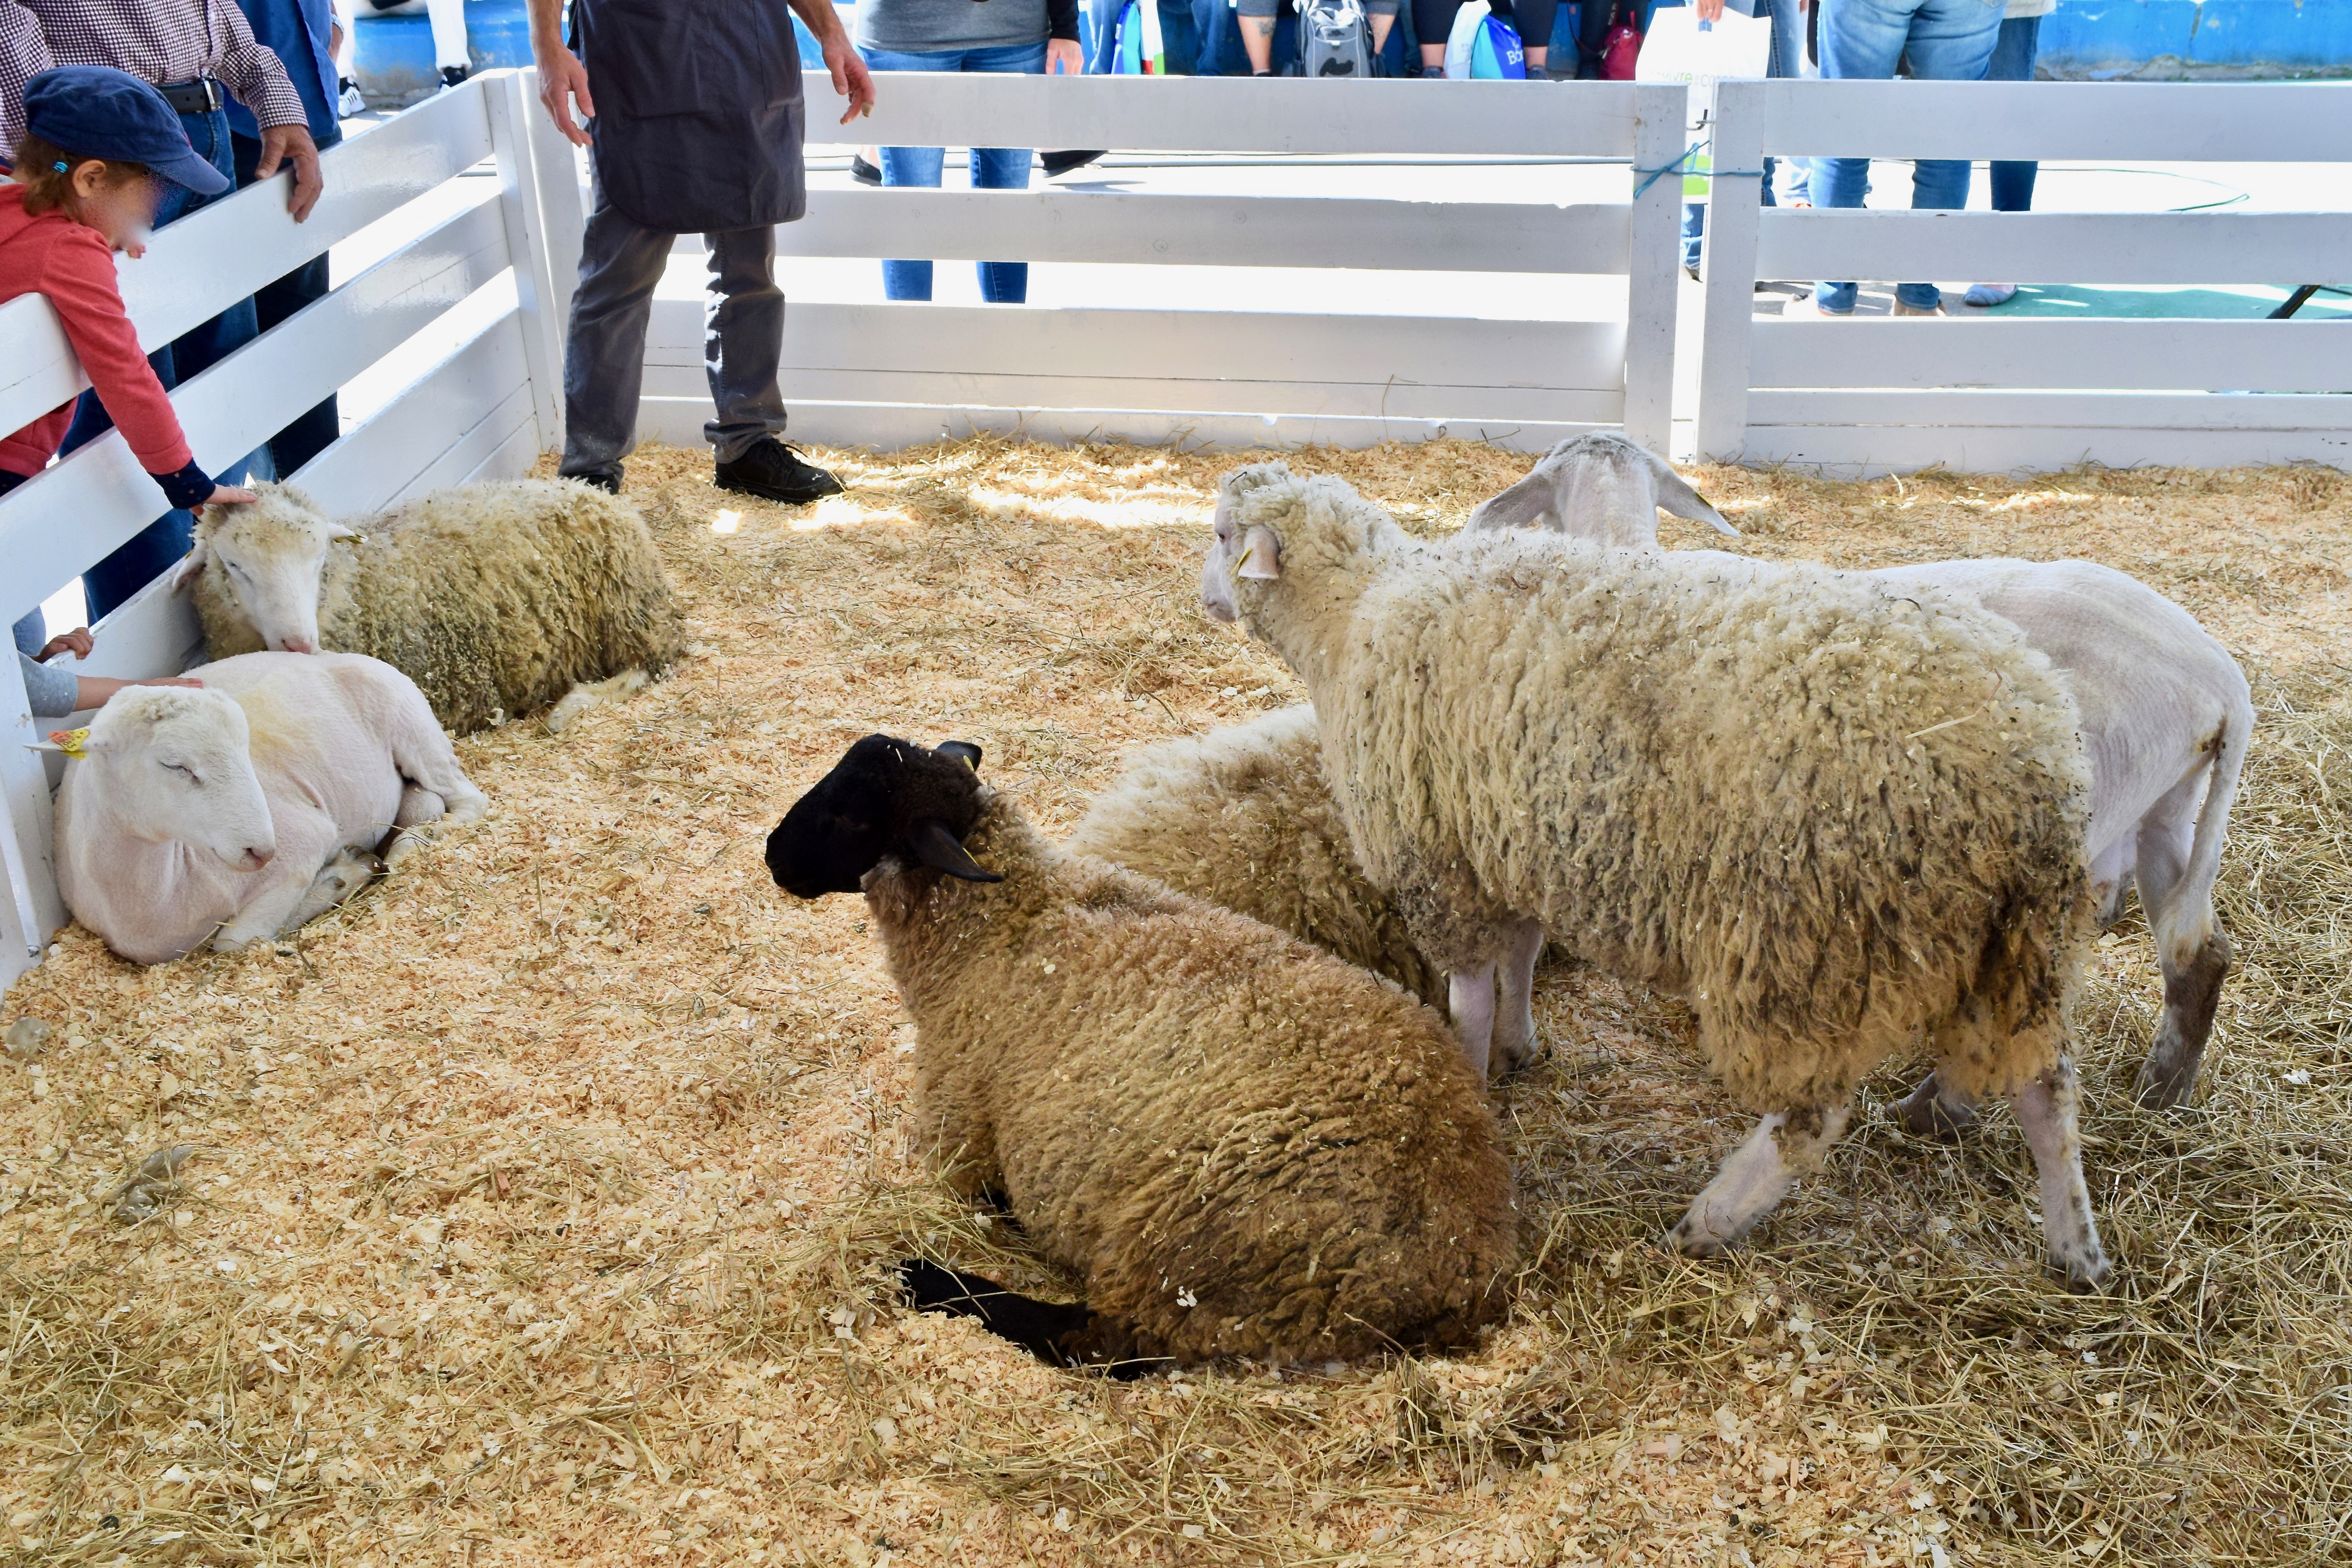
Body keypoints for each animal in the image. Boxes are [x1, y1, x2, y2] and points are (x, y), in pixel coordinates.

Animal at [49, 651, 487, 964]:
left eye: (245, 749)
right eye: (174, 765)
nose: (261, 849)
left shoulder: (305, 840)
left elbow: (235, 940)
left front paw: (342, 876)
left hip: (412, 728)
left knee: (469, 801)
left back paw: (414, 842)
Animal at [169, 479, 687, 735]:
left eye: (319, 558)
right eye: (233, 566)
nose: (298, 643)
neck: (360, 588)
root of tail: (593, 492)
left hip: (629, 610)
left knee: (651, 664)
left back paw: (569, 708)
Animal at [766, 733, 1517, 1369]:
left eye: (849, 814)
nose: (772, 852)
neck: (1004, 923)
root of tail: (1470, 1262)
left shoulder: (959, 1129)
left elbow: (973, 1190)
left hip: (1189, 1249)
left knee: (1096, 1341)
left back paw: (928, 1278)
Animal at [1202, 471, 2113, 1290]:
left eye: (1217, 533)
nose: (1203, 595)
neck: (1356, 613)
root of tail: (2035, 761)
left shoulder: (1440, 861)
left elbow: (1470, 991)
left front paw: (1469, 1071)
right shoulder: (1513, 840)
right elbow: (1521, 956)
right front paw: (1520, 1046)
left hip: (1809, 943)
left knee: (1811, 1118)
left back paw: (1709, 1221)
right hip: (2011, 951)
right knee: (2048, 1090)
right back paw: (2078, 1251)